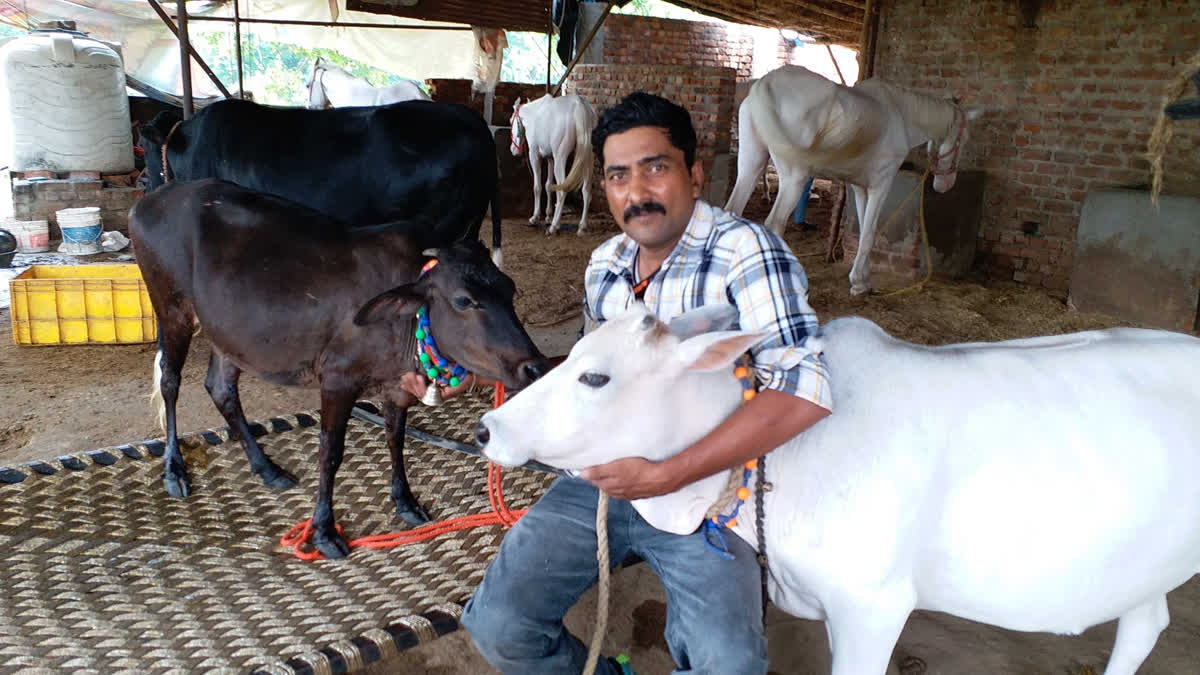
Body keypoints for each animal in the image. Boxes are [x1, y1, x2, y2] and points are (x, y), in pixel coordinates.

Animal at [130, 179, 549, 559]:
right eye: (463, 300)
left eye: (509, 289)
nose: (535, 367)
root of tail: (149, 200)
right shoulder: (336, 379)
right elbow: (330, 453)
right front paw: (323, 531)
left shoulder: (396, 384)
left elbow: (395, 438)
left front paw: (406, 502)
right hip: (171, 308)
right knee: (170, 381)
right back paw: (174, 470)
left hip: (228, 334)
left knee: (220, 387)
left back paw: (266, 468)